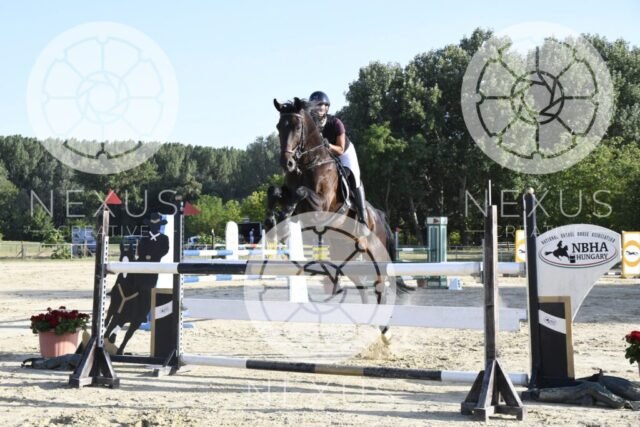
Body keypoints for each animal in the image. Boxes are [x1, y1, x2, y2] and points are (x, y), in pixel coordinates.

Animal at [266, 97, 408, 305]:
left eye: (297, 127)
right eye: (278, 126)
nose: (287, 163)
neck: (309, 163)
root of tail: (380, 217)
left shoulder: (322, 205)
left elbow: (301, 192)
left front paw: (284, 214)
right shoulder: (292, 194)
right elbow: (274, 191)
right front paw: (272, 220)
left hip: (375, 253)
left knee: (380, 284)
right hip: (343, 251)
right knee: (361, 284)